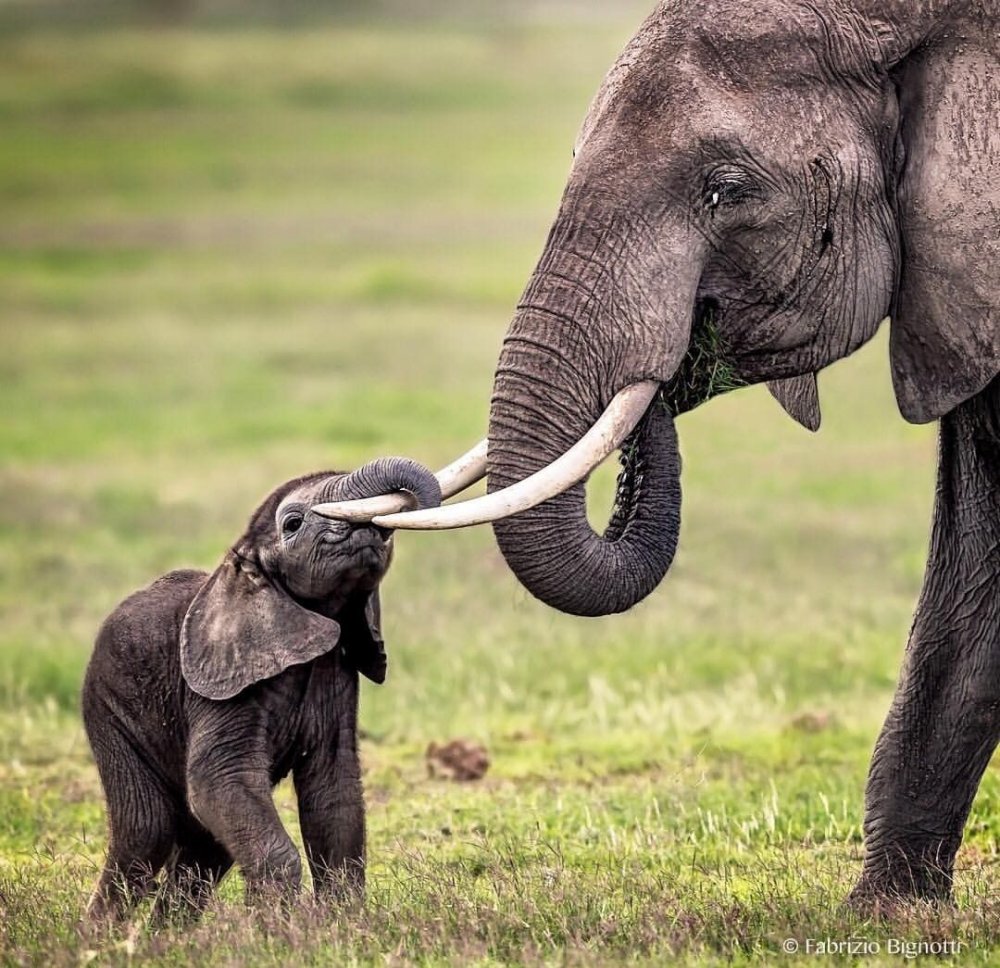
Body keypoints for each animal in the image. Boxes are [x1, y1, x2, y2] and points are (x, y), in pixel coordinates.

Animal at [84, 458, 444, 928]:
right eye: (292, 523)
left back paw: (165, 937)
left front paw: (340, 927)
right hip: (109, 708)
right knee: (147, 831)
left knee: (204, 845)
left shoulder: (336, 675)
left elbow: (333, 792)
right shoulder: (222, 680)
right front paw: (276, 931)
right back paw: (96, 936)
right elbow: (219, 779)